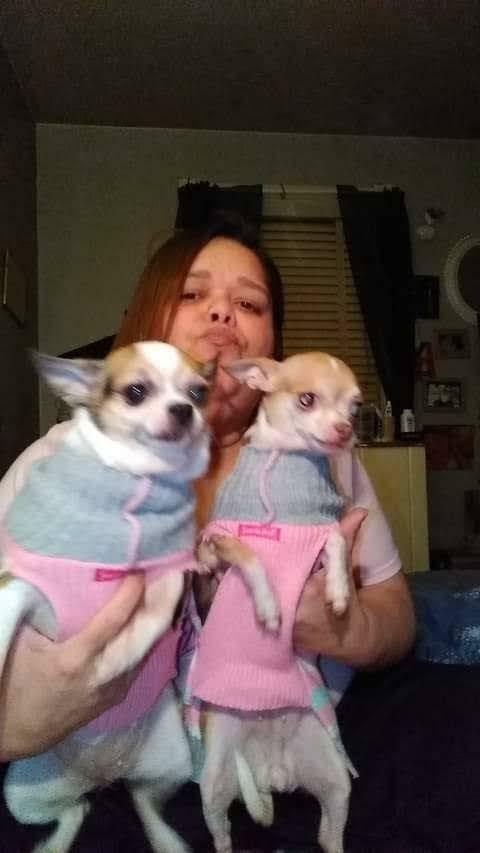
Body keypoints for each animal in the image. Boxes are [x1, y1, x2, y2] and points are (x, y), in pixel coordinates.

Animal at [0, 341, 213, 853]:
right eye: (136, 392)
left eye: (199, 393)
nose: (184, 410)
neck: (134, 481)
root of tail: (101, 774)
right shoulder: (21, 581)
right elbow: (4, 619)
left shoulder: (169, 575)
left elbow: (153, 613)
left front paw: (118, 654)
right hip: (23, 792)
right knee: (76, 811)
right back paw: (56, 843)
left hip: (172, 762)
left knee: (141, 800)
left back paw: (166, 841)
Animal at [188, 351, 362, 853]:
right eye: (307, 400)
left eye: (356, 407)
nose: (346, 429)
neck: (287, 462)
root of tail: (274, 772)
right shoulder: (217, 545)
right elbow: (251, 557)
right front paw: (267, 607)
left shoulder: (324, 528)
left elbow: (336, 543)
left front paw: (339, 591)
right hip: (215, 779)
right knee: (222, 831)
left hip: (334, 779)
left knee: (329, 835)